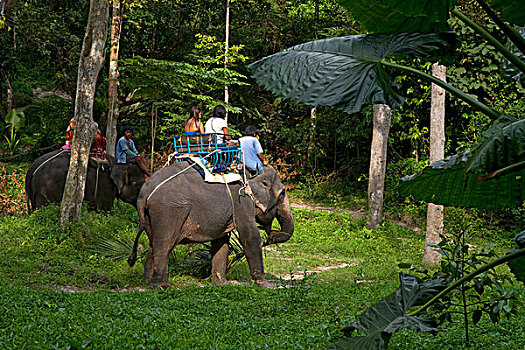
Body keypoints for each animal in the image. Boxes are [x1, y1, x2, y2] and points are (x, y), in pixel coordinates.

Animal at [126, 162, 292, 288]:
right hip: (169, 211)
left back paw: (148, 282)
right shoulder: (242, 201)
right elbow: (250, 236)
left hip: (150, 216)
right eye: (283, 193)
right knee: (163, 245)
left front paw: (222, 284)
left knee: (152, 244)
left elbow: (222, 241)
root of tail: (144, 194)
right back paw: (164, 286)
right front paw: (266, 285)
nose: (270, 237)